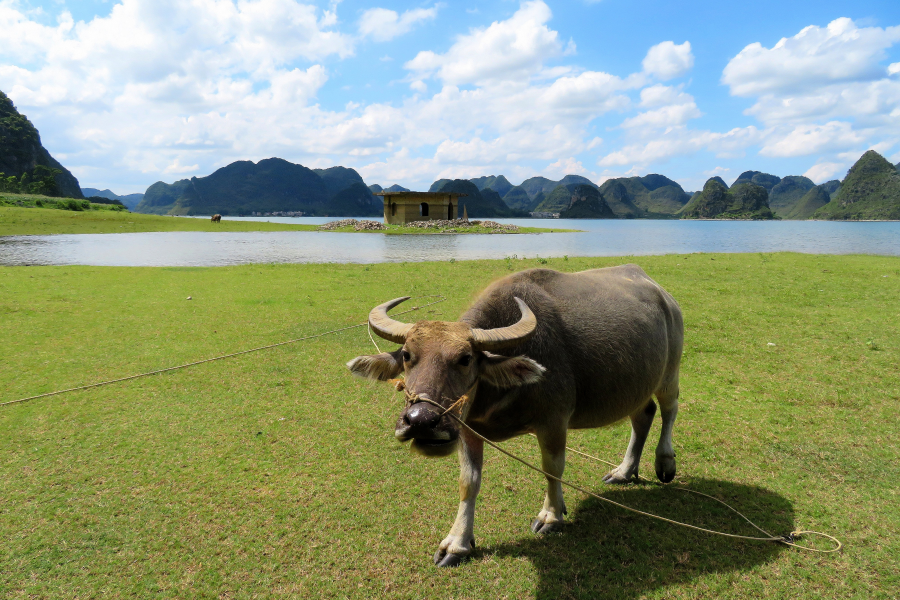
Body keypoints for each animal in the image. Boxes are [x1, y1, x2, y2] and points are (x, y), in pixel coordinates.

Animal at [346, 266, 684, 568]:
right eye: (407, 356)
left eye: (465, 359)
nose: (421, 421)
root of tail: (665, 297)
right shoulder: (468, 429)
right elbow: (468, 482)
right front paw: (457, 542)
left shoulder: (554, 421)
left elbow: (553, 469)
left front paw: (552, 515)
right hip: (637, 385)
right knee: (643, 415)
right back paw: (624, 471)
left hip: (670, 373)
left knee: (669, 409)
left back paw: (665, 463)